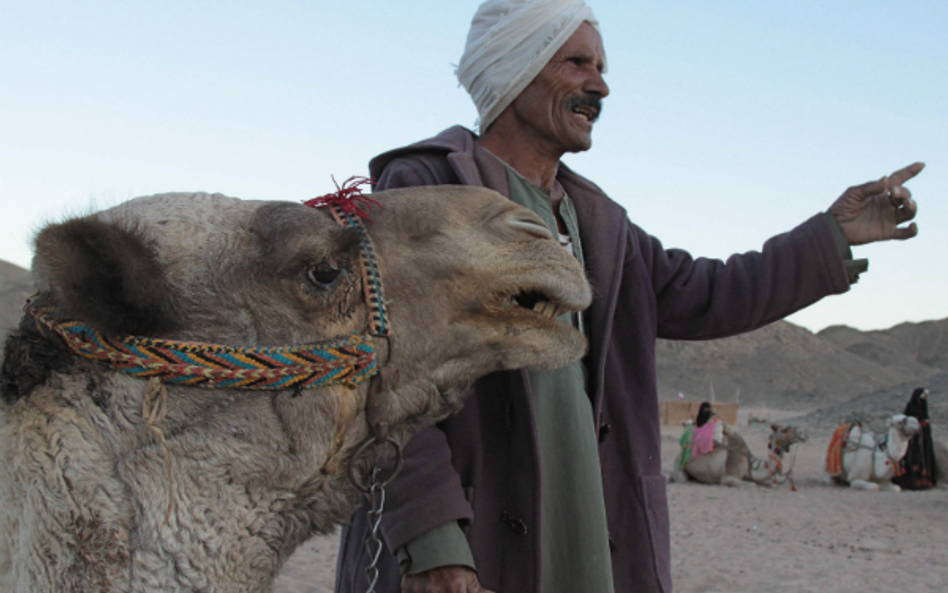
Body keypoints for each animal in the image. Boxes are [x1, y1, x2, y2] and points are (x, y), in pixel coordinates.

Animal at [672, 420, 808, 486]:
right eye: (784, 429)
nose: (804, 434)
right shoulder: (728, 478)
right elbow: (752, 485)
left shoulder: (749, 476)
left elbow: (769, 484)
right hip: (679, 465)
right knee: (681, 478)